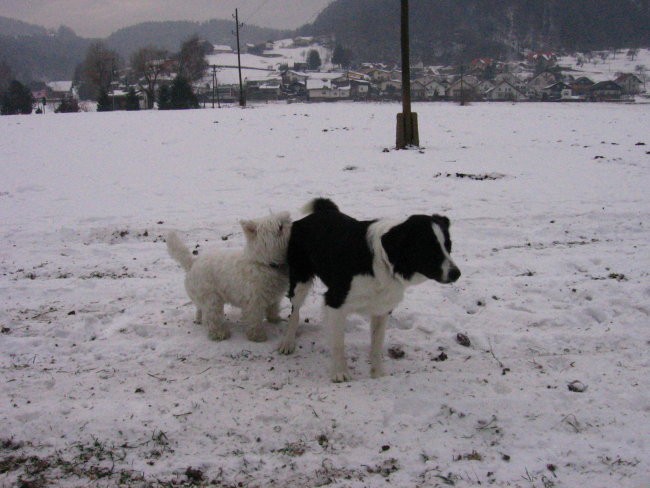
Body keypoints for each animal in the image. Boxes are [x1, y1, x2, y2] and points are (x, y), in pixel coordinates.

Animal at [167, 212, 292, 342]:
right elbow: (255, 320)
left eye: (287, 220)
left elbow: (273, 308)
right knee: (211, 318)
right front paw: (258, 336)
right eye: (280, 227)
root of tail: (192, 263)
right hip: (212, 299)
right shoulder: (253, 302)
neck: (263, 262)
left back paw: (199, 319)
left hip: (203, 298)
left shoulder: (274, 296)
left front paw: (275, 319)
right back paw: (219, 333)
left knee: (200, 308)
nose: (294, 225)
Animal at [276, 198, 458, 382]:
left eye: (449, 246)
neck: (384, 261)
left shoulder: (381, 308)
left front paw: (377, 374)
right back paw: (288, 341)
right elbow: (338, 343)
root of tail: (318, 213)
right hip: (300, 281)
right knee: (295, 312)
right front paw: (339, 372)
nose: (456, 273)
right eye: (429, 249)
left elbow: (377, 345)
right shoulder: (335, 300)